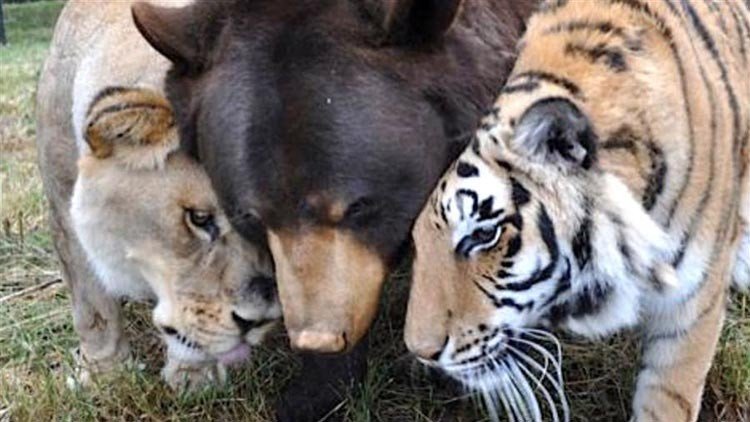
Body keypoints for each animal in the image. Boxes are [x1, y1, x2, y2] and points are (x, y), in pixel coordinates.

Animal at [36, 0, 280, 390]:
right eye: (199, 218)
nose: (259, 320)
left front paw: (194, 377)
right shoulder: (62, 209)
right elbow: (92, 306)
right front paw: (106, 375)